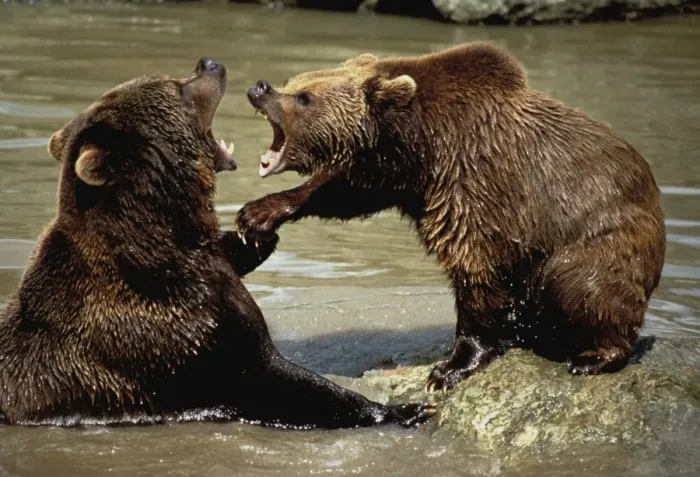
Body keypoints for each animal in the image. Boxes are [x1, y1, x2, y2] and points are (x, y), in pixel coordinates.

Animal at [0, 57, 435, 428]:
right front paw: (402, 409)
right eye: (178, 87)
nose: (209, 63)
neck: (157, 244)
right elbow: (273, 382)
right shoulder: (180, 334)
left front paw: (255, 230)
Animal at [237, 42, 667, 392]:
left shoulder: (473, 178)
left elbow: (475, 265)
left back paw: (593, 356)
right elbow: (346, 192)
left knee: (581, 283)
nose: (260, 88)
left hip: (600, 234)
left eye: (304, 97)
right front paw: (256, 214)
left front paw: (449, 368)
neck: (420, 140)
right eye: (295, 81)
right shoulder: (401, 172)